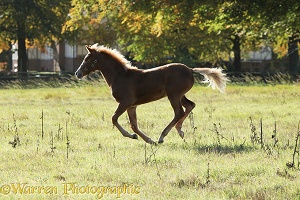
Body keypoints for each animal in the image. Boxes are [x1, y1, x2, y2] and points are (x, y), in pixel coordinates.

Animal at [75, 44, 227, 144]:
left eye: (87, 59)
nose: (78, 73)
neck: (119, 76)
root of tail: (190, 69)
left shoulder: (125, 102)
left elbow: (114, 118)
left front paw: (133, 136)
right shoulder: (132, 106)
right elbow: (134, 125)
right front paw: (147, 140)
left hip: (173, 95)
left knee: (179, 112)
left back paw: (162, 136)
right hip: (179, 95)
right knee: (190, 106)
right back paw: (179, 130)